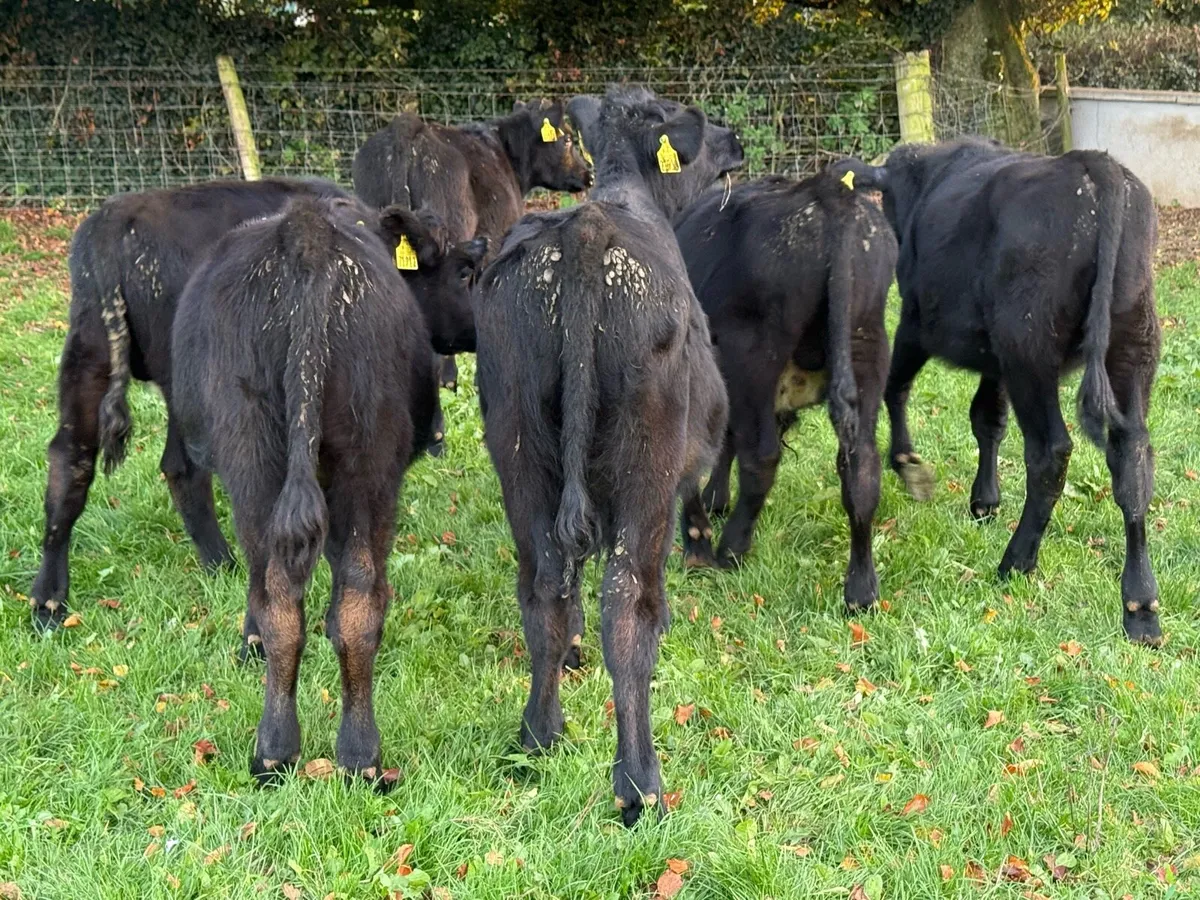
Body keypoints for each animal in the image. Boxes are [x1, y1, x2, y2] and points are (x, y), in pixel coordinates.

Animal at [31, 177, 351, 630]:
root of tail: (115, 217)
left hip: (89, 352)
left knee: (71, 459)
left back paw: (48, 601)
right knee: (182, 466)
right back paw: (224, 562)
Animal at [171, 193, 484, 784]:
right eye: (461, 271)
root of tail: (307, 236)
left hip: (262, 457)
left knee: (283, 594)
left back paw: (286, 749)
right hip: (355, 452)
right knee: (352, 597)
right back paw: (349, 756)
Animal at [475, 87, 744, 826]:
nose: (737, 140)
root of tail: (585, 230)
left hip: (518, 448)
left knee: (544, 585)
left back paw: (539, 732)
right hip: (645, 461)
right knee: (627, 599)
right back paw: (639, 782)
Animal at [673, 172, 897, 613]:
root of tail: (829, 192)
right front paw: (715, 499)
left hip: (755, 354)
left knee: (761, 457)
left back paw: (732, 548)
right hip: (866, 344)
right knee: (862, 467)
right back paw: (861, 589)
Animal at [832, 137, 1162, 645]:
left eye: (887, 198)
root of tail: (1091, 163)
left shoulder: (916, 320)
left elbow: (896, 387)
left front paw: (907, 462)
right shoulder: (995, 361)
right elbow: (987, 419)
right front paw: (984, 499)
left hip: (1029, 349)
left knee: (1050, 451)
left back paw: (1016, 561)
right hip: (1130, 345)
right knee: (1133, 460)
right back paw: (1141, 606)